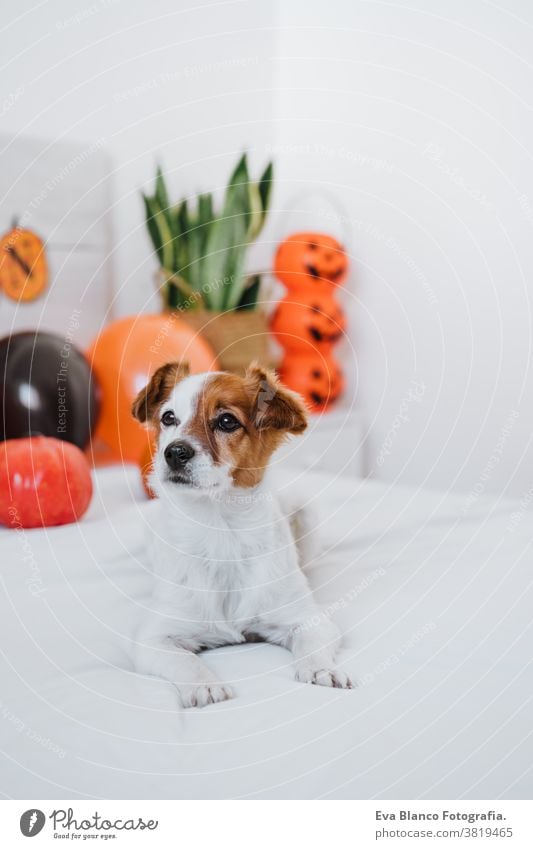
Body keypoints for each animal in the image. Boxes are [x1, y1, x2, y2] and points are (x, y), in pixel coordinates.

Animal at [131, 362, 352, 704]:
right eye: (168, 418)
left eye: (226, 421)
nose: (173, 452)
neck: (220, 530)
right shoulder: (153, 638)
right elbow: (184, 661)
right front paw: (204, 685)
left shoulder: (308, 621)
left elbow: (311, 647)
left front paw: (321, 669)